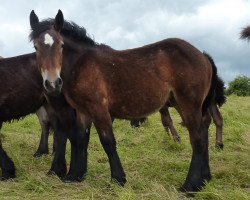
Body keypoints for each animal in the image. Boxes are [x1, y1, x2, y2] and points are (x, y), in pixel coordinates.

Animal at [29, 10, 225, 193]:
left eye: (61, 45)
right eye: (36, 47)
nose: (52, 84)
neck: (81, 65)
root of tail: (203, 56)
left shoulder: (99, 109)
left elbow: (108, 142)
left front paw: (118, 179)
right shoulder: (83, 111)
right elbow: (81, 139)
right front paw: (75, 175)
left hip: (188, 103)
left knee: (197, 138)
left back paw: (190, 185)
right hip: (185, 104)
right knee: (203, 132)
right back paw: (205, 178)